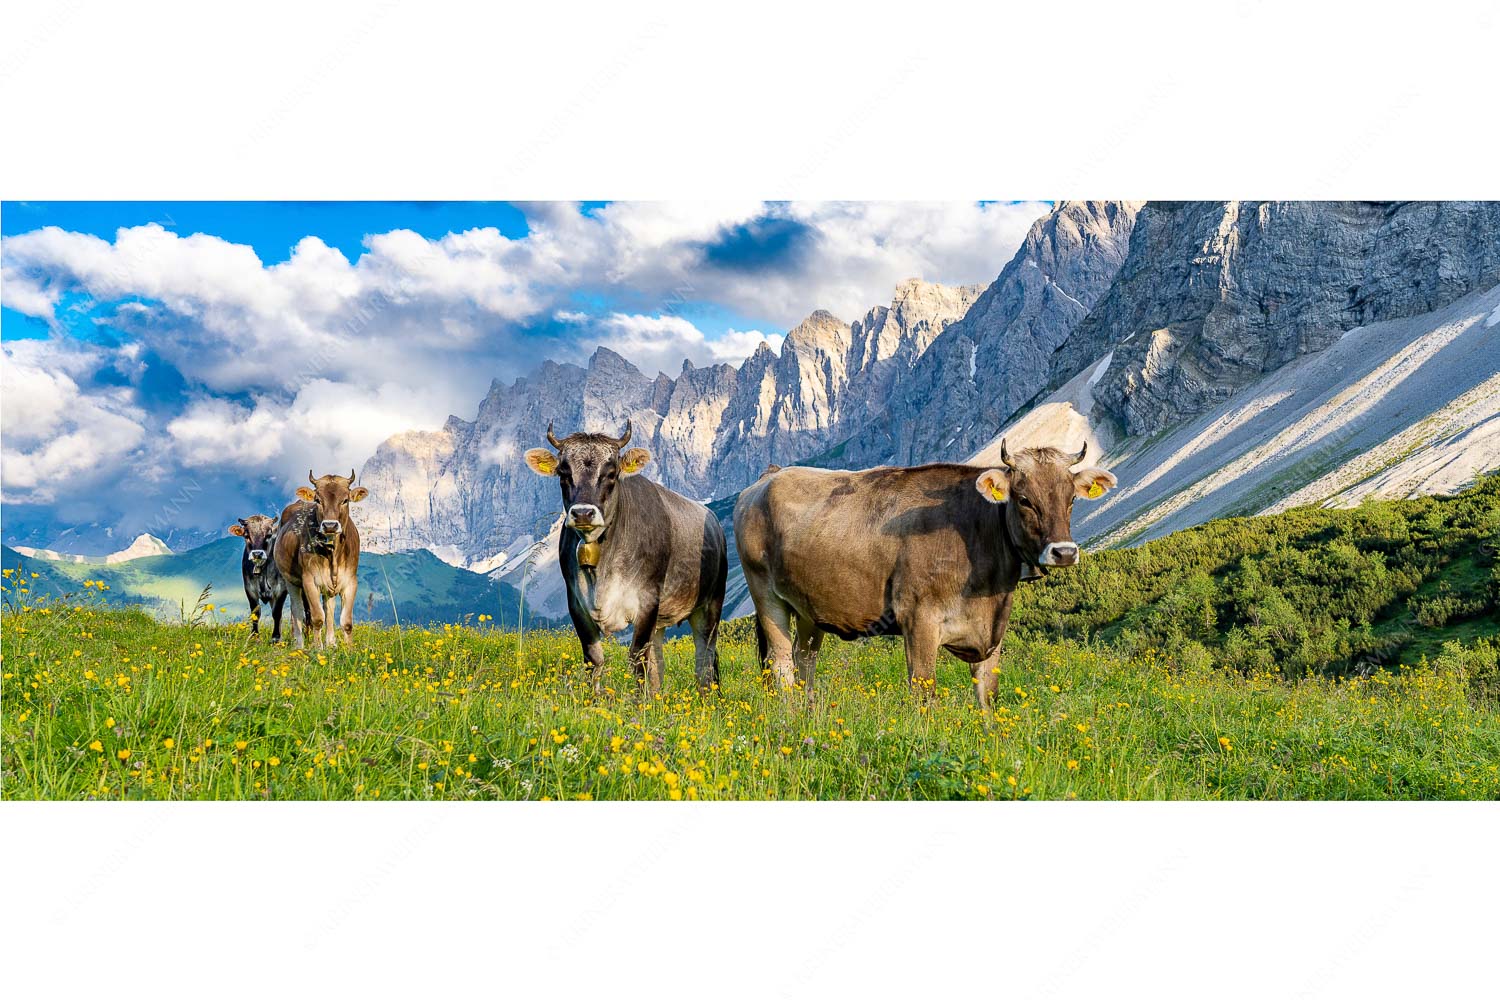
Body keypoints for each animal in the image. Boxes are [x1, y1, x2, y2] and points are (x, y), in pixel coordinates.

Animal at [273, 470, 368, 649]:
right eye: (317, 500)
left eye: (345, 500)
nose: (330, 525)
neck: (333, 555)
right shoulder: (309, 580)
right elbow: (317, 617)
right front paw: (317, 648)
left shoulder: (351, 581)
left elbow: (346, 621)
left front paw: (349, 649)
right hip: (290, 581)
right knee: (297, 611)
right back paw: (299, 645)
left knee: (329, 609)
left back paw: (331, 643)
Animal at [524, 420, 728, 697]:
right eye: (564, 474)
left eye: (611, 474)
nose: (583, 513)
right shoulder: (575, 603)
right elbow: (594, 659)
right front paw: (594, 701)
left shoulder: (648, 600)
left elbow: (637, 658)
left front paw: (640, 704)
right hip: (662, 619)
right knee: (659, 659)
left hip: (710, 603)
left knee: (704, 655)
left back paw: (708, 697)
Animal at [733, 440, 1117, 710]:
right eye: (1023, 499)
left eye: (1071, 499)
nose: (1064, 552)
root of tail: (770, 476)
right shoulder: (918, 619)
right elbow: (924, 691)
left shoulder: (992, 632)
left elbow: (987, 698)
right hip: (766, 595)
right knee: (781, 665)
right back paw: (790, 720)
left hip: (810, 608)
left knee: (805, 662)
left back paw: (810, 718)